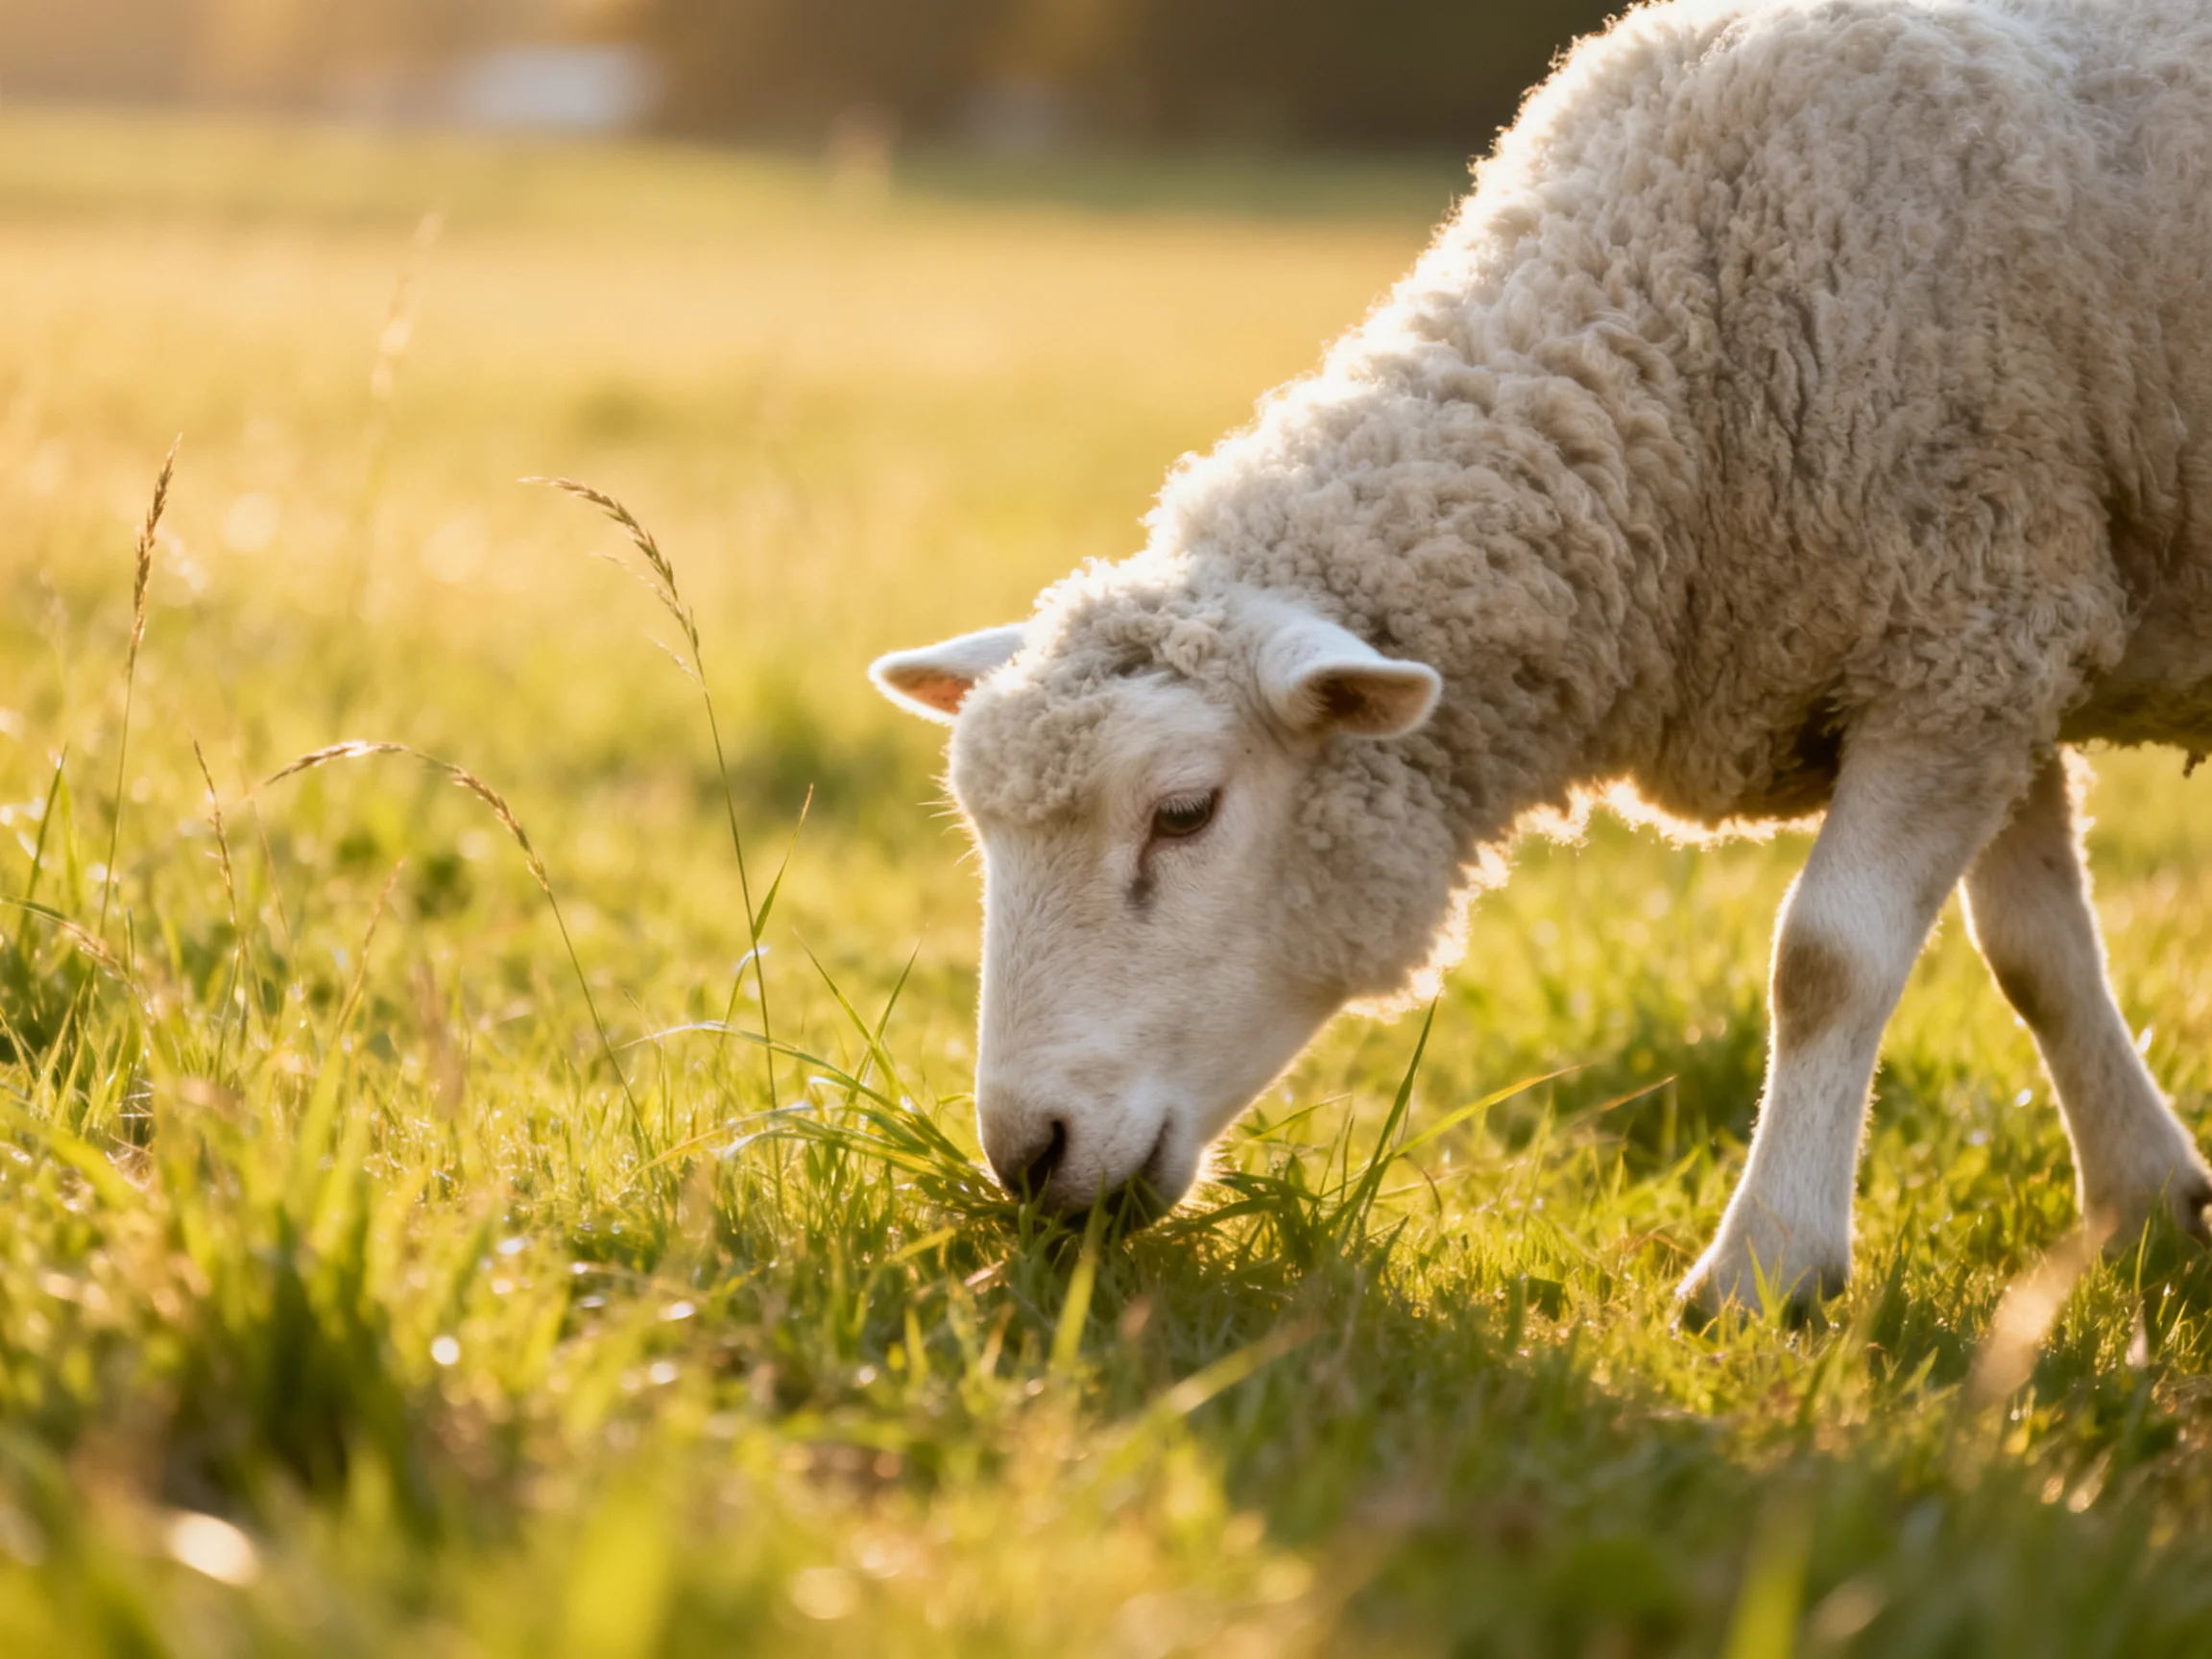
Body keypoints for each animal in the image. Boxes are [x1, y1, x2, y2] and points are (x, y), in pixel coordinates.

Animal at [869, 0, 2212, 1315]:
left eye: (1186, 813)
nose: (1028, 1155)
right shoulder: (2005, 636)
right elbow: (2039, 957)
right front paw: (2147, 1200)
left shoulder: (1962, 633)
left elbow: (1828, 960)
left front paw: (1767, 1269)